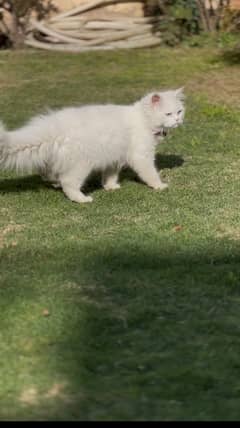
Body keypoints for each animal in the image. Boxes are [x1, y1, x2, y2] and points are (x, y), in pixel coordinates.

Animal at [0, 88, 185, 202]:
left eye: (179, 111)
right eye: (168, 114)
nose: (178, 120)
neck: (142, 119)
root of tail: (54, 125)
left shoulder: (114, 157)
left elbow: (110, 175)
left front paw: (111, 187)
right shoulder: (141, 156)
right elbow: (150, 174)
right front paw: (160, 186)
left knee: (48, 173)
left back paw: (55, 183)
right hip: (81, 164)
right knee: (68, 182)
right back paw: (82, 199)